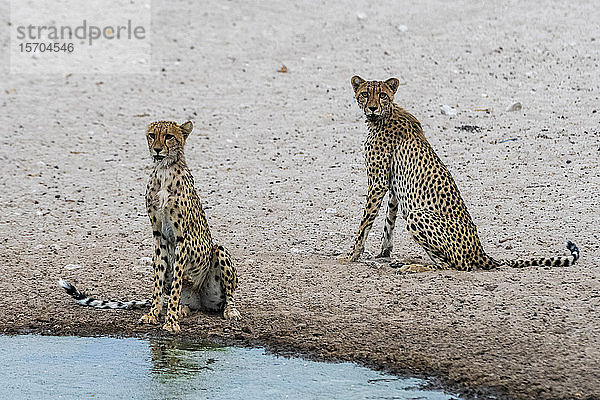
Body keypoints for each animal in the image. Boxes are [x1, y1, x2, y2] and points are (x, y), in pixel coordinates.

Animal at [59, 119, 239, 332]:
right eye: (152, 135)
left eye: (169, 136)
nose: (157, 149)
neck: (164, 170)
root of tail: (200, 302)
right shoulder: (158, 235)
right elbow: (158, 281)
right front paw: (154, 314)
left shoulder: (181, 238)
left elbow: (177, 282)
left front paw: (170, 322)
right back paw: (182, 308)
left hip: (219, 253)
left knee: (227, 295)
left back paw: (228, 310)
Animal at [338, 75, 576, 274]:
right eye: (365, 94)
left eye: (383, 95)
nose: (372, 108)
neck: (387, 113)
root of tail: (480, 250)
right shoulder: (393, 186)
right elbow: (389, 221)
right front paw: (383, 253)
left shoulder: (378, 183)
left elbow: (365, 223)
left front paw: (352, 256)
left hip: (418, 214)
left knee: (456, 265)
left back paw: (413, 266)